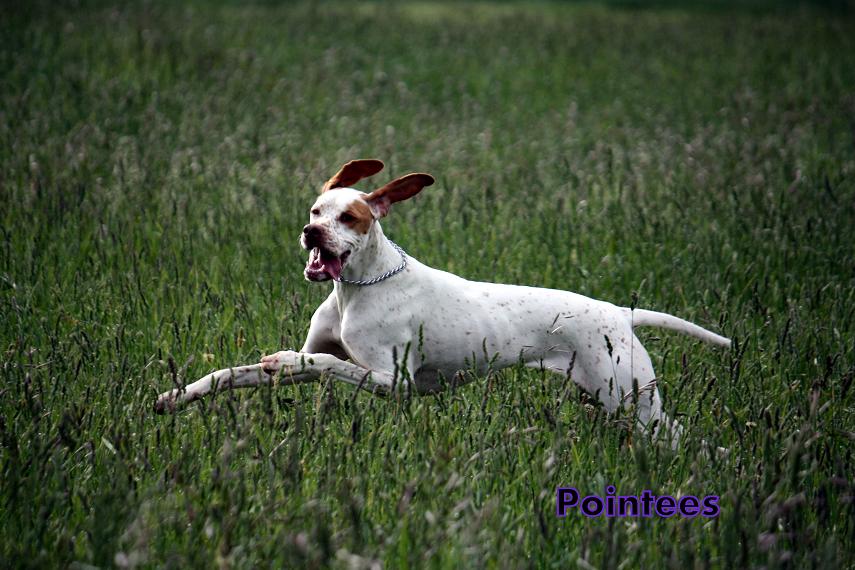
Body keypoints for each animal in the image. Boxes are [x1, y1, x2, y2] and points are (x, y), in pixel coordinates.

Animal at [155, 159, 730, 446]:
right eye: (317, 209)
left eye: (349, 218)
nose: (311, 233)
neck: (359, 289)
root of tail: (619, 311)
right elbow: (235, 373)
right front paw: (175, 396)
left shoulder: (396, 383)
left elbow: (321, 365)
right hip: (613, 399)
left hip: (631, 398)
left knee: (682, 437)